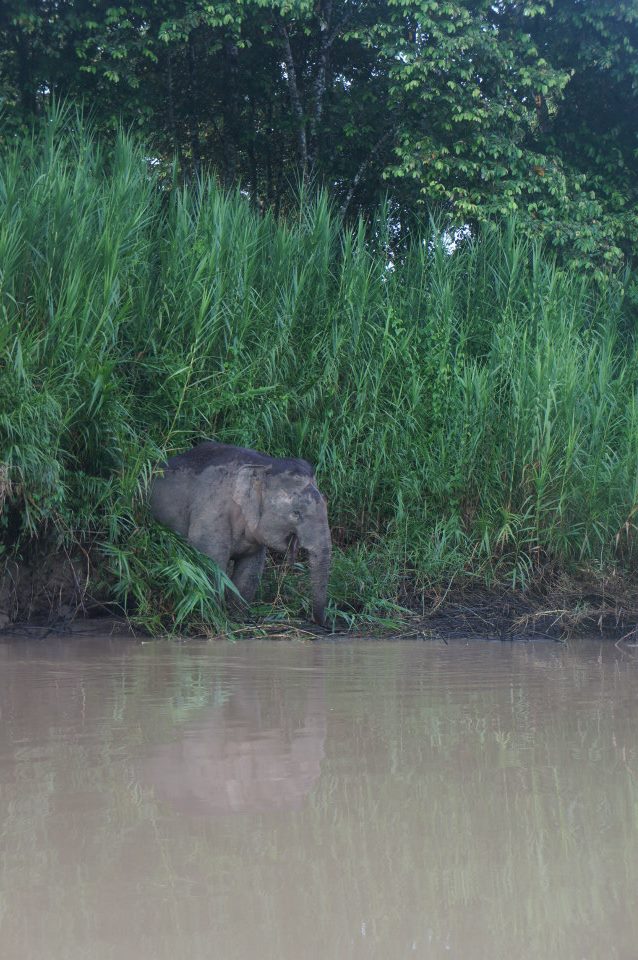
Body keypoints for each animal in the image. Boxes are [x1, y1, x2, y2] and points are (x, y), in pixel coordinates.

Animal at [149, 440, 330, 628]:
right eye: (296, 513)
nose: (318, 622)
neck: (263, 464)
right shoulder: (211, 513)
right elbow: (210, 564)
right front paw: (214, 618)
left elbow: (250, 570)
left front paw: (237, 618)